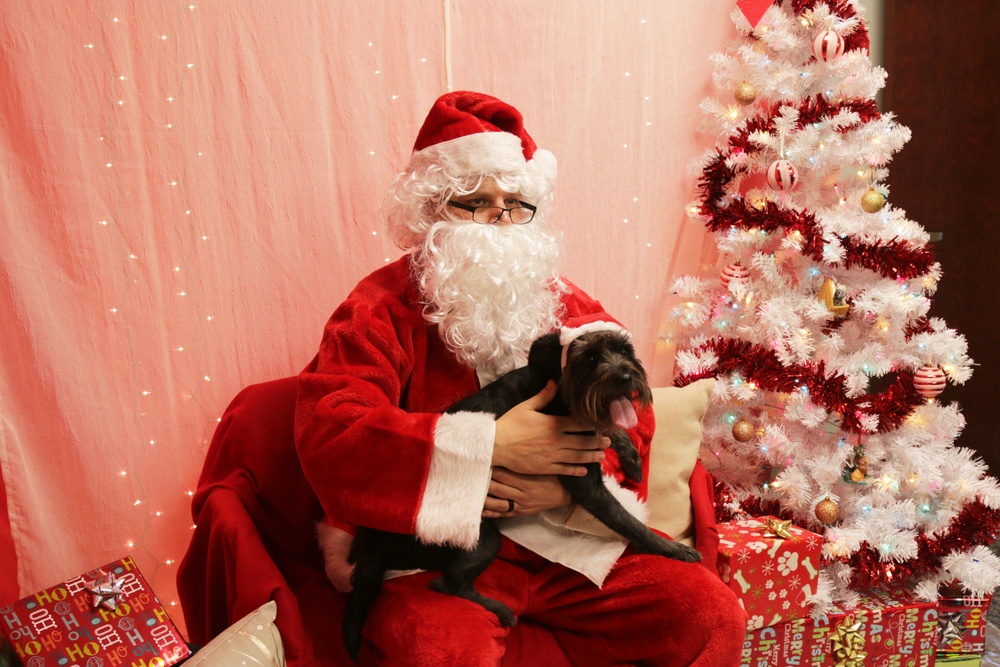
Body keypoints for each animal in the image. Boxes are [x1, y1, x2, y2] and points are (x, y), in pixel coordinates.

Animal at [340, 332, 700, 660]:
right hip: (481, 539)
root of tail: (371, 543)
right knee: (448, 584)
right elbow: (627, 521)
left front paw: (631, 458)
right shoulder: (586, 483)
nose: (626, 377)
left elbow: (611, 430)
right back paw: (499, 609)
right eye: (590, 358)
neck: (563, 391)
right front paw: (670, 548)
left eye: (625, 351)